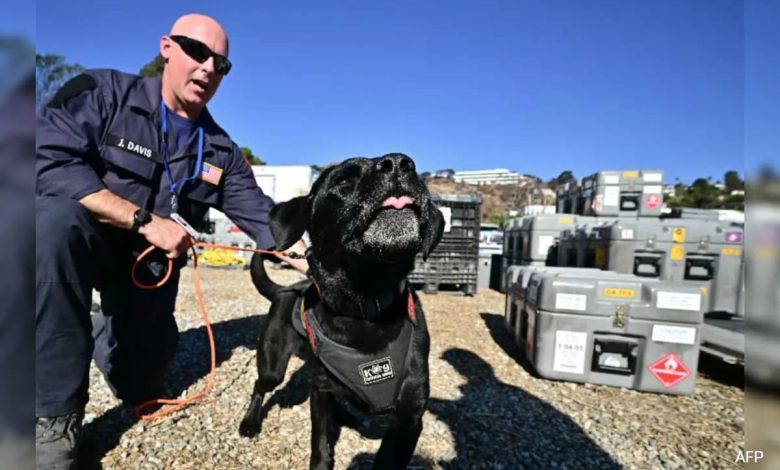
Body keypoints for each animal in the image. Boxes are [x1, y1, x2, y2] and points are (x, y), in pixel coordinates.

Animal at [238, 152, 444, 468]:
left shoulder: (409, 417)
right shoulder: (321, 392)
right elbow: (320, 444)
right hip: (273, 363)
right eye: (344, 181)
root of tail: (285, 290)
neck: (365, 306)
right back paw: (250, 421)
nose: (400, 163)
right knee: (261, 386)